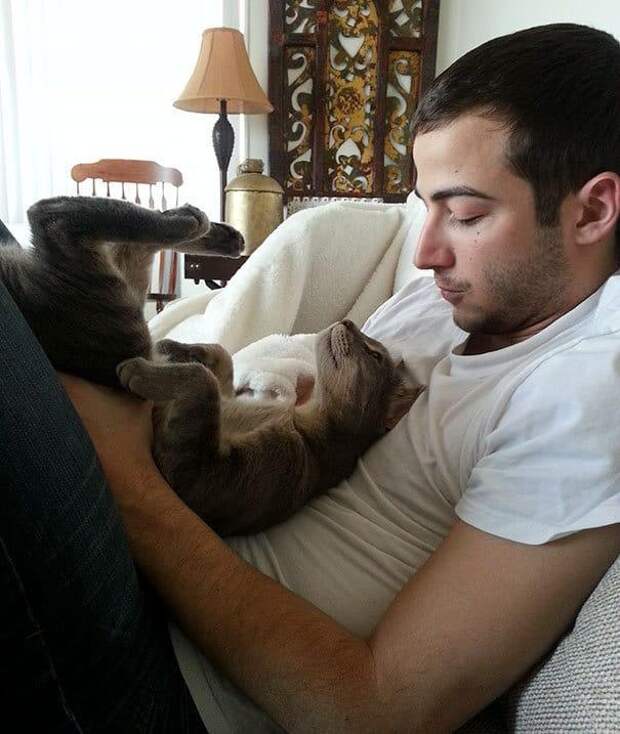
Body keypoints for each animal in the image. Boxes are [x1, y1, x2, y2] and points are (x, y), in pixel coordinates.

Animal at [1, 195, 421, 535]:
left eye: (374, 354)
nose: (348, 322)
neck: (305, 421)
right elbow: (220, 357)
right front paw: (176, 347)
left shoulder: (197, 474)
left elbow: (204, 383)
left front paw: (147, 369)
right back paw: (214, 232)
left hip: (111, 316)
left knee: (54, 218)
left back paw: (191, 224)